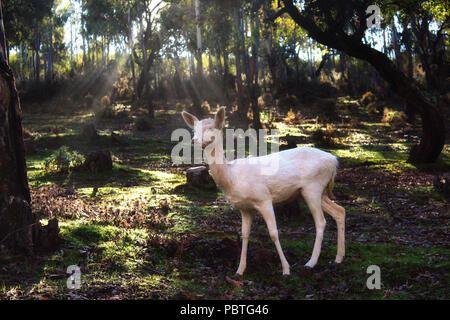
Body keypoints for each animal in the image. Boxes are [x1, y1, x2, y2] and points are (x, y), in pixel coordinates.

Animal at [181, 107, 346, 276]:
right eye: (194, 129)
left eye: (211, 128)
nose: (194, 140)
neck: (232, 177)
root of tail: (334, 160)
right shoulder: (245, 208)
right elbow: (245, 234)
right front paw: (240, 270)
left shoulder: (264, 198)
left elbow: (273, 233)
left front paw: (286, 269)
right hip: (316, 191)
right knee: (340, 211)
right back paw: (339, 258)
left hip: (313, 187)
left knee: (321, 221)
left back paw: (311, 263)